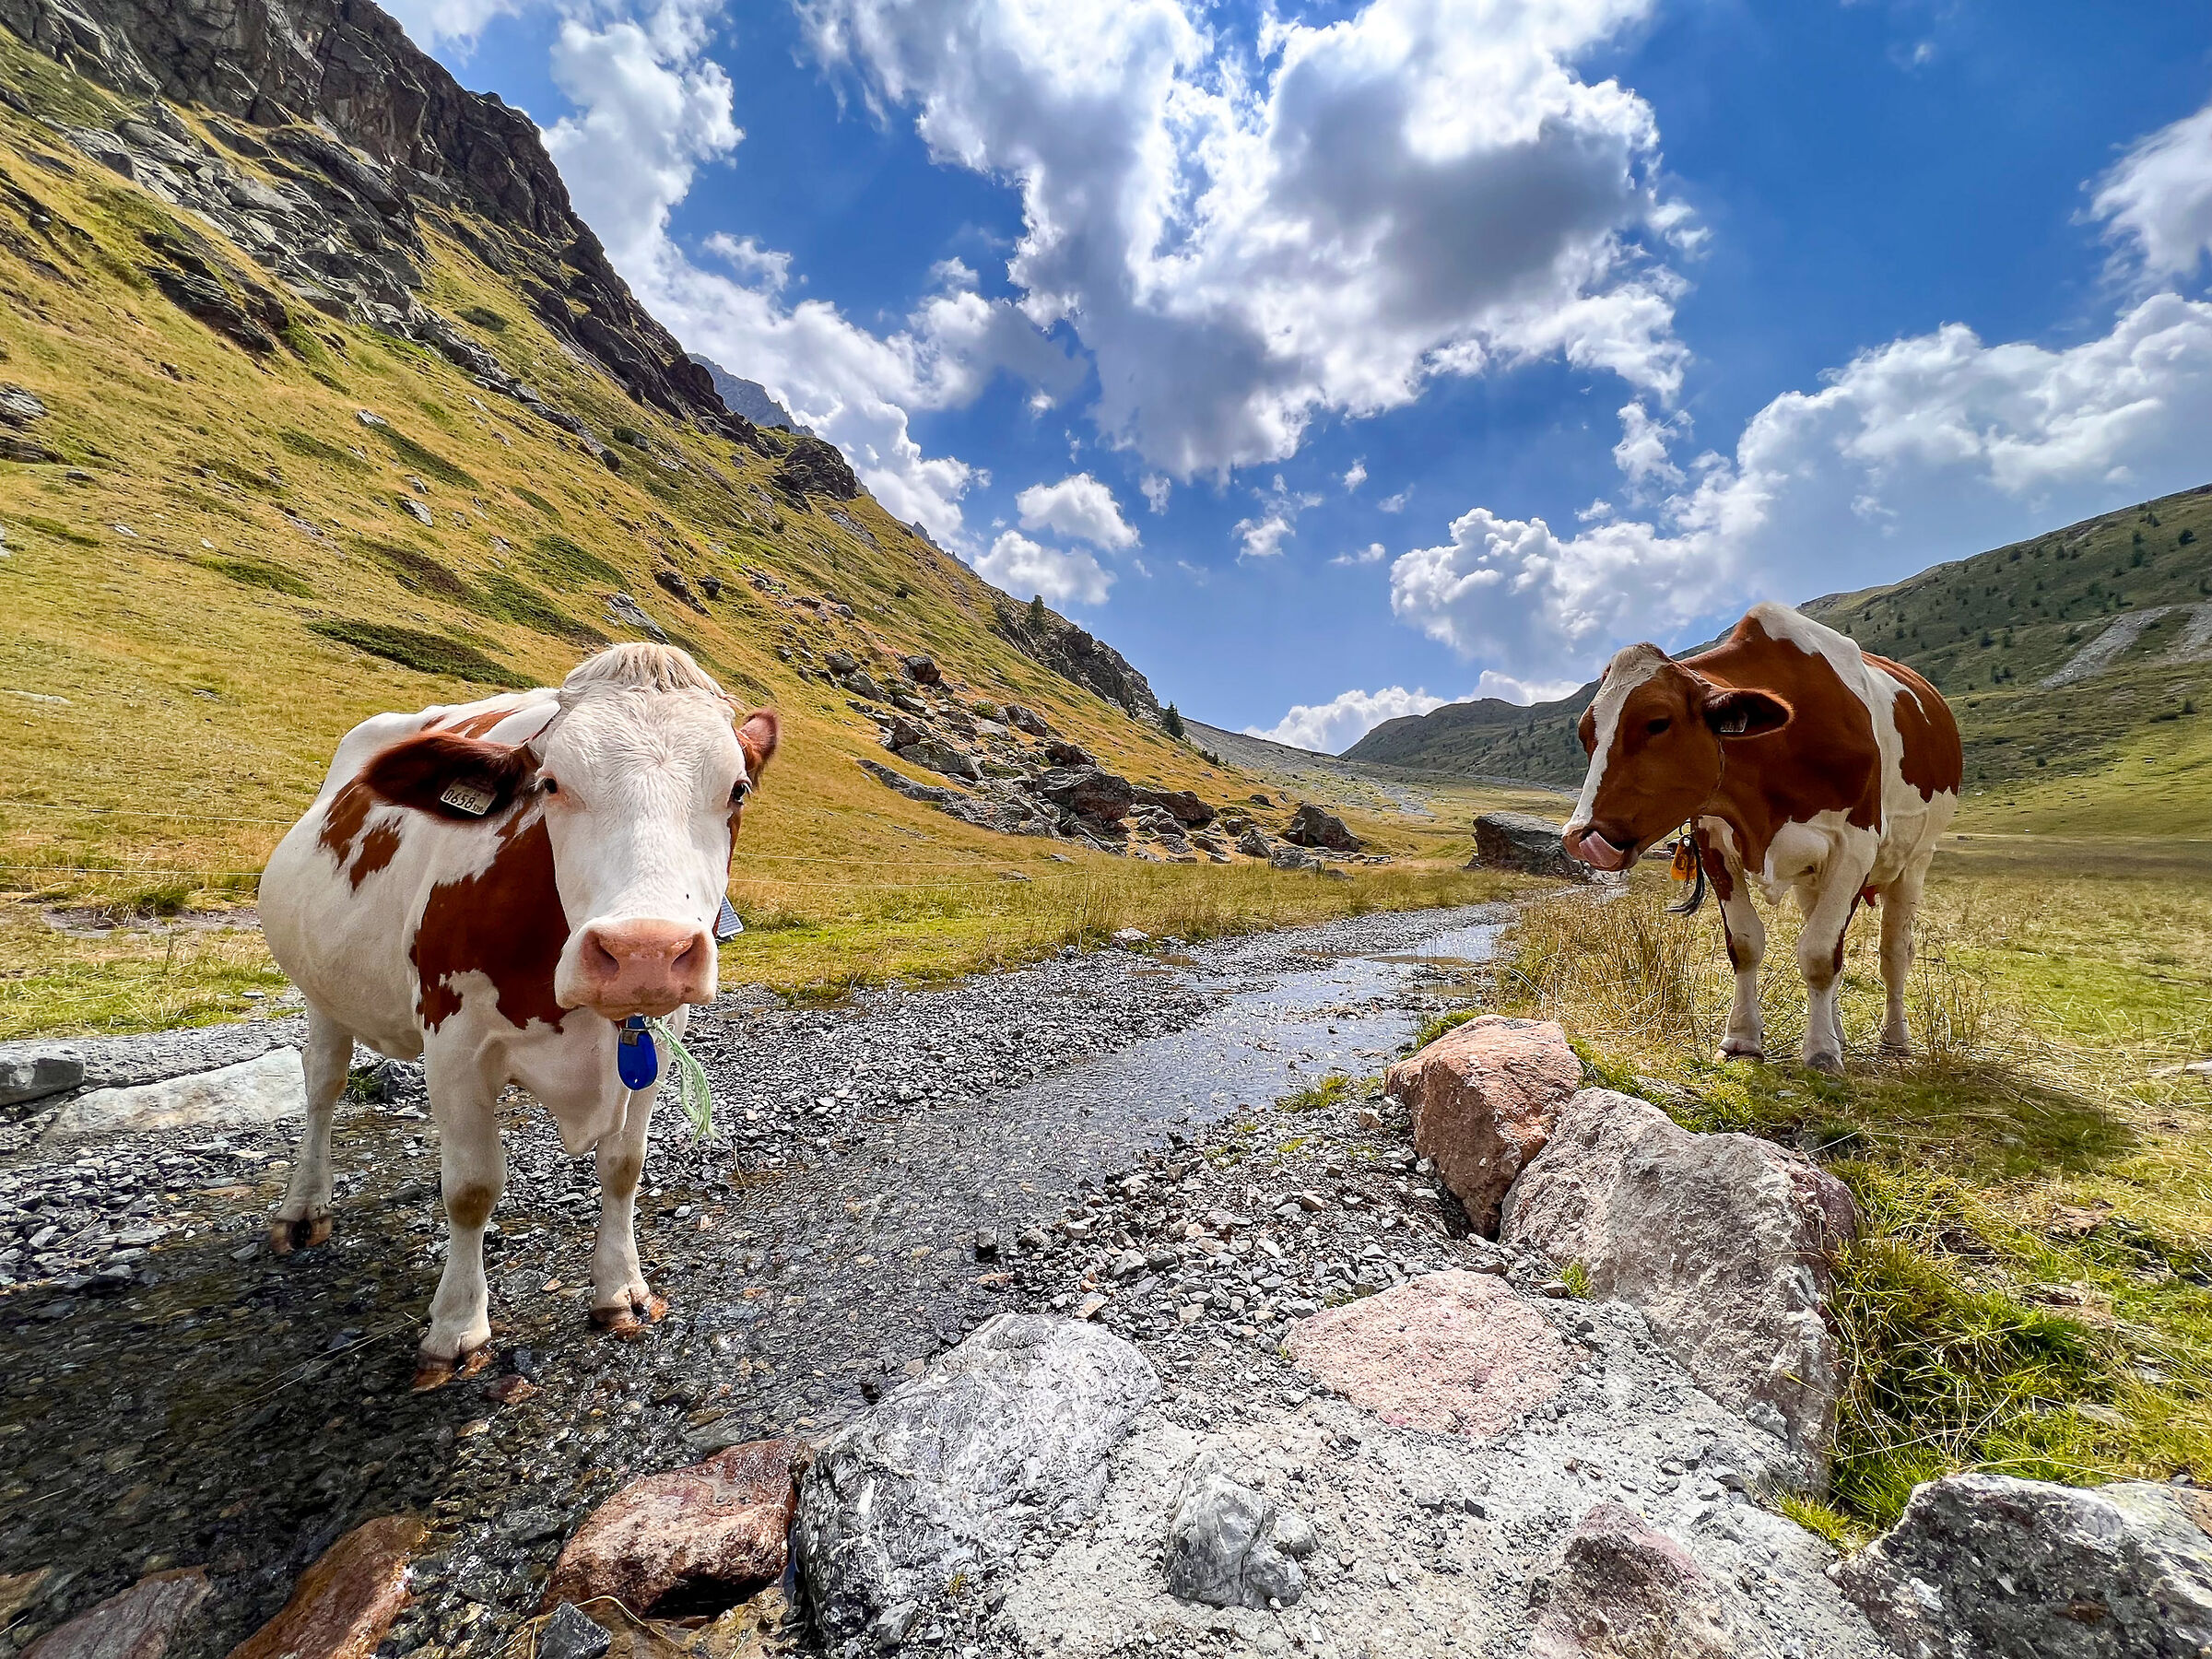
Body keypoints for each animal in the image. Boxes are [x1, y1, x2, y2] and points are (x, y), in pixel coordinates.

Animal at [260, 643, 778, 1386]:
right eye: (552, 783)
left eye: (736, 789)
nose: (644, 951)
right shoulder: (454, 1040)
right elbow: (472, 1188)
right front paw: (456, 1327)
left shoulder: (657, 1038)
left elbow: (624, 1164)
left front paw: (620, 1290)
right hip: (322, 987)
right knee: (323, 1084)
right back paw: (304, 1207)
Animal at [1561, 602, 1962, 1074]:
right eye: (1586, 734)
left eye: (1657, 722)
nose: (1580, 837)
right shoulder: (1713, 841)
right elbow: (1749, 944)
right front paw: (1744, 1038)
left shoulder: (1854, 848)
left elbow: (1820, 954)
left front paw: (1821, 1052)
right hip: (1813, 879)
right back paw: (1838, 1030)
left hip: (1915, 859)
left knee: (1894, 950)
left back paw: (1894, 1038)